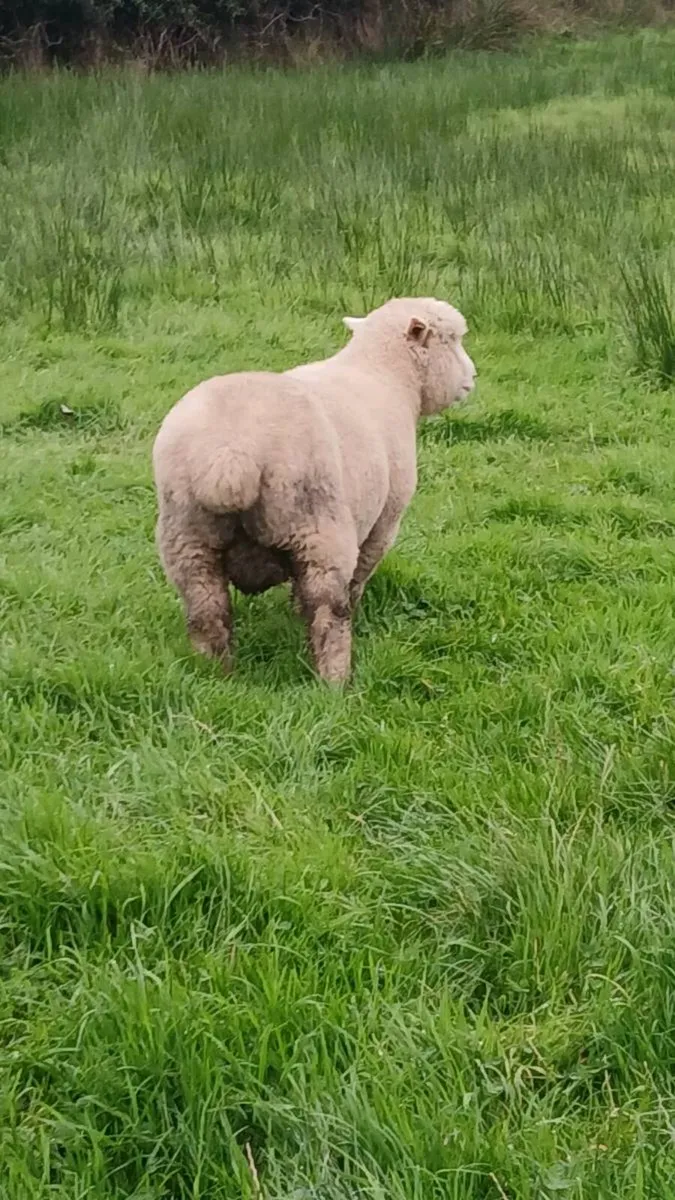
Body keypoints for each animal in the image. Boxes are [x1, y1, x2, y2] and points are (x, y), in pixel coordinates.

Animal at [152, 296, 477, 684]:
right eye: (452, 340)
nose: (472, 378)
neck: (386, 376)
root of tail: (230, 454)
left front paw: (293, 611)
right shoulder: (385, 520)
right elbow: (358, 577)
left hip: (187, 540)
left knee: (206, 614)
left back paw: (218, 675)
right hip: (320, 531)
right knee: (328, 612)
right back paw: (334, 680)